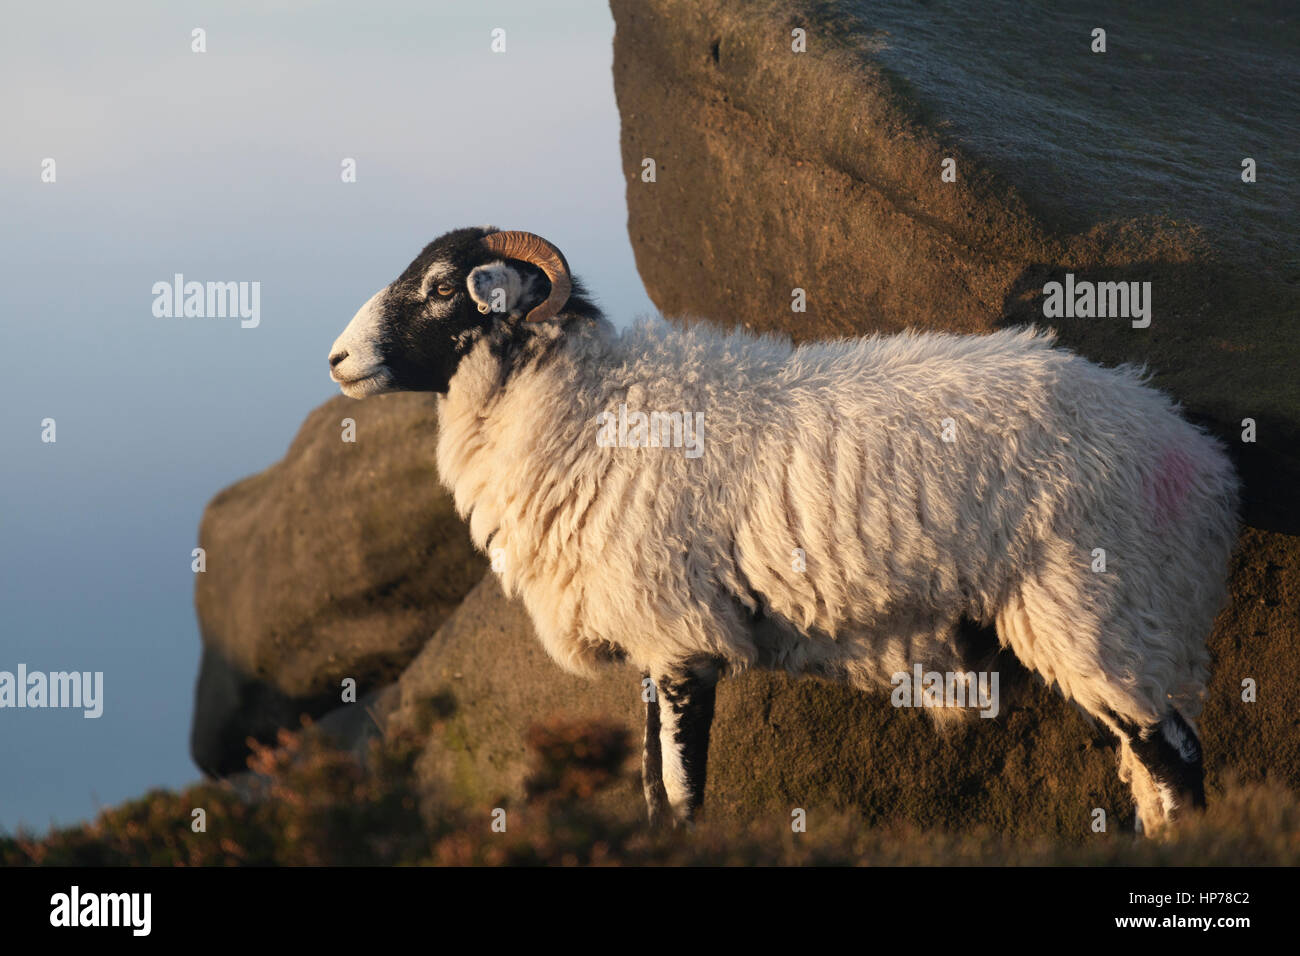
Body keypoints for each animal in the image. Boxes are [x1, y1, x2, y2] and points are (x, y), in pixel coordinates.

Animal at [325, 227, 1237, 832]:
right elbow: (651, 787)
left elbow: (683, 790)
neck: (587, 407)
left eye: (444, 288)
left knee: (1175, 757)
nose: (336, 361)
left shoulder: (681, 636)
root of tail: (1190, 452)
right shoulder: (647, 639)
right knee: (1148, 767)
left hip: (1100, 605)